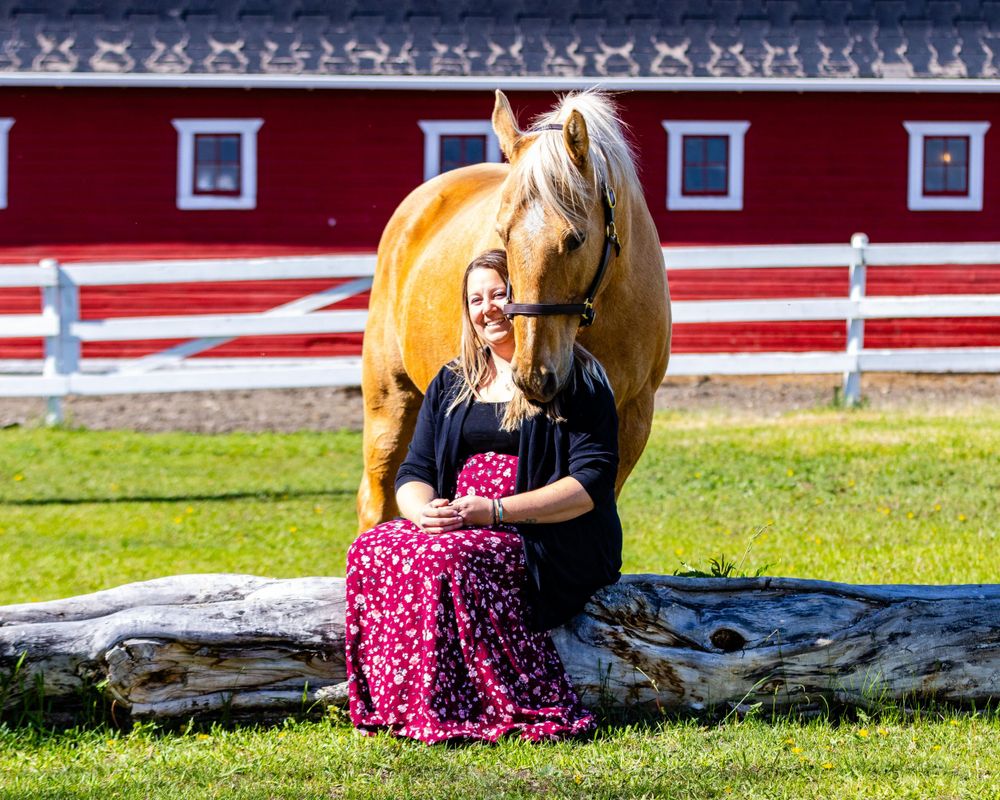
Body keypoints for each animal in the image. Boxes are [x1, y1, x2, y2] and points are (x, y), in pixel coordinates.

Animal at [357, 89, 671, 531]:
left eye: (576, 238)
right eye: (502, 234)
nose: (534, 375)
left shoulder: (632, 418)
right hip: (389, 399)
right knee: (378, 495)